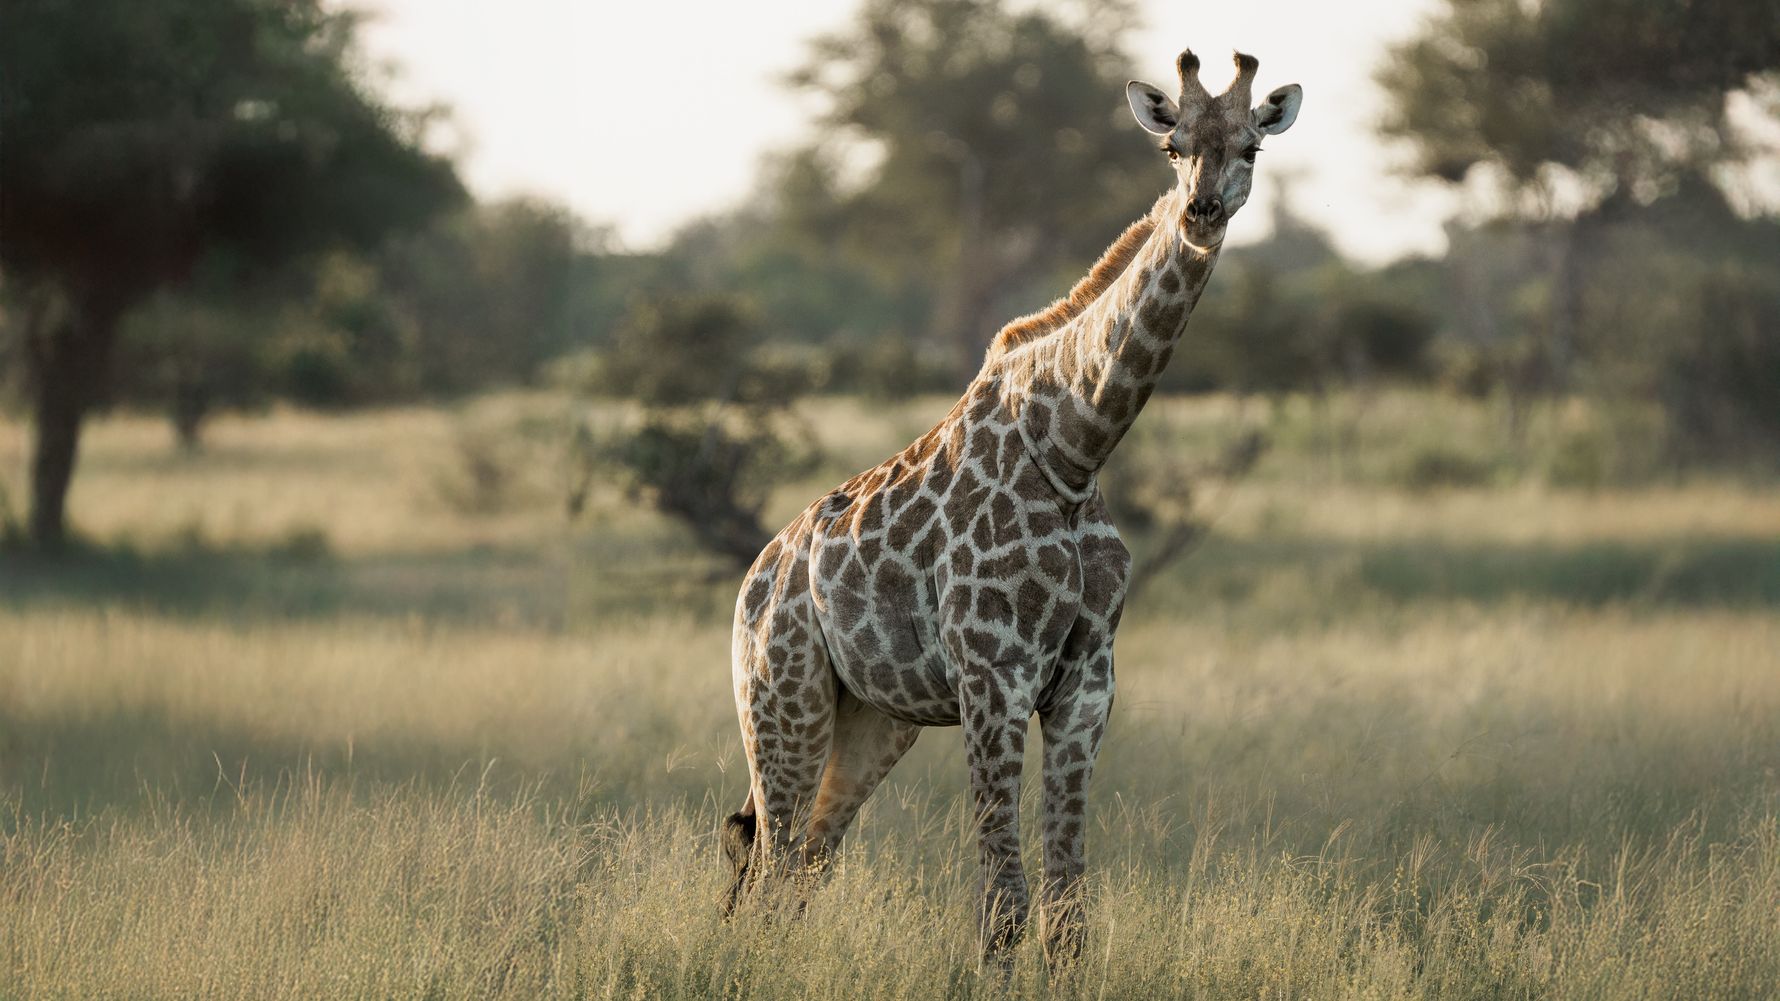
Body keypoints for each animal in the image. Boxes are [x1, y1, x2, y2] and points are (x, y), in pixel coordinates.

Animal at [723, 48, 1303, 962]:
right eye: (1172, 145)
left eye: (1251, 146)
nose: (1202, 210)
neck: (1075, 447)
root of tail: (755, 578)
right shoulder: (993, 676)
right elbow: (1004, 904)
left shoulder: (1087, 683)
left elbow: (1067, 910)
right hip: (781, 700)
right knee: (771, 869)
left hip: (873, 719)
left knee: (801, 868)